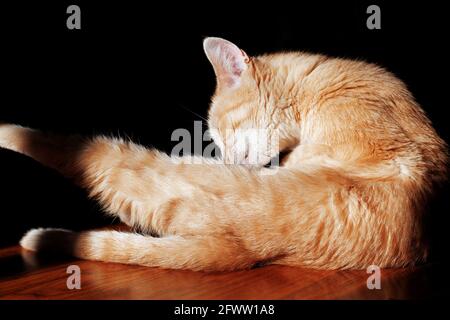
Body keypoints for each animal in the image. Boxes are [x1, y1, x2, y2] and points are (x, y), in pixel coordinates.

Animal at [0, 37, 446, 272]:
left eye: (224, 131)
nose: (228, 160)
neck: (314, 86)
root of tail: (252, 249)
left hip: (148, 167)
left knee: (78, 152)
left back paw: (11, 134)